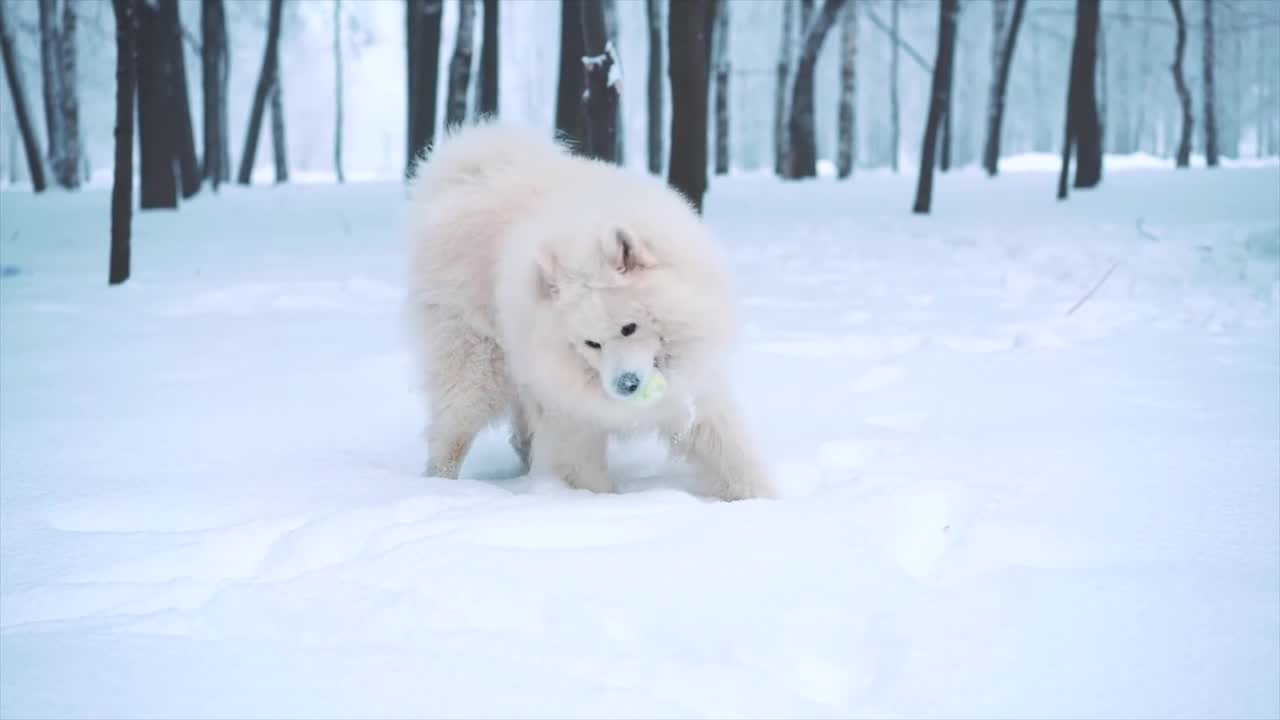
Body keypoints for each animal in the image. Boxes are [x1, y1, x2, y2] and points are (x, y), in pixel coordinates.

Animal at [404, 120, 773, 499]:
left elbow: (731, 453)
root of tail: (468, 172)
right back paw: (441, 484)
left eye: (629, 327)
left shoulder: (696, 390)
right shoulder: (573, 412)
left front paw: (760, 501)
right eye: (591, 344)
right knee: (452, 431)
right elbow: (584, 471)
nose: (626, 385)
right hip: (475, 362)